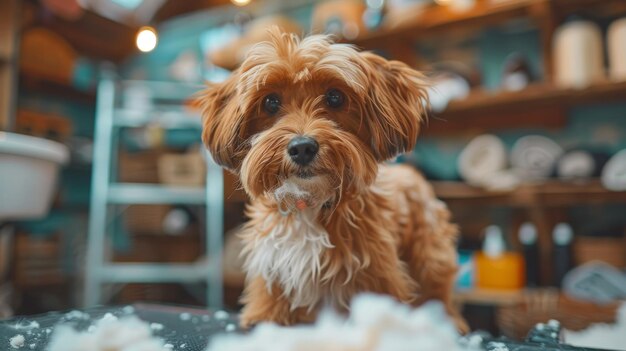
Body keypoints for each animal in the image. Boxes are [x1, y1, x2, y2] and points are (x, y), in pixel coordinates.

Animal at [201, 28, 468, 334]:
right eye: (270, 102)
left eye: (335, 98)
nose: (302, 147)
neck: (308, 203)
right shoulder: (273, 264)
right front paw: (265, 316)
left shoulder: (376, 270)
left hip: (430, 253)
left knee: (438, 288)